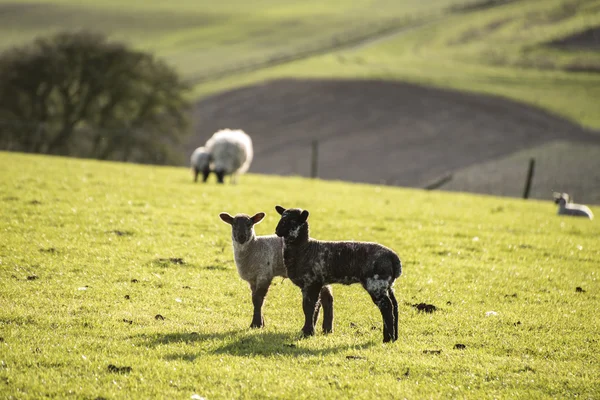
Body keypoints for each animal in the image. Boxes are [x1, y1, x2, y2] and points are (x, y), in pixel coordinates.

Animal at [276, 205, 404, 342]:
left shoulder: (311, 282)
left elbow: (308, 307)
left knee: (386, 306)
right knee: (395, 305)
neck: (304, 248)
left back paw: (387, 339)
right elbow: (317, 306)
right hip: (388, 284)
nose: (277, 230)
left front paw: (308, 332)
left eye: (292, 221)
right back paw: (394, 337)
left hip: (376, 283)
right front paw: (310, 330)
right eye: (282, 217)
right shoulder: (319, 283)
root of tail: (393, 257)